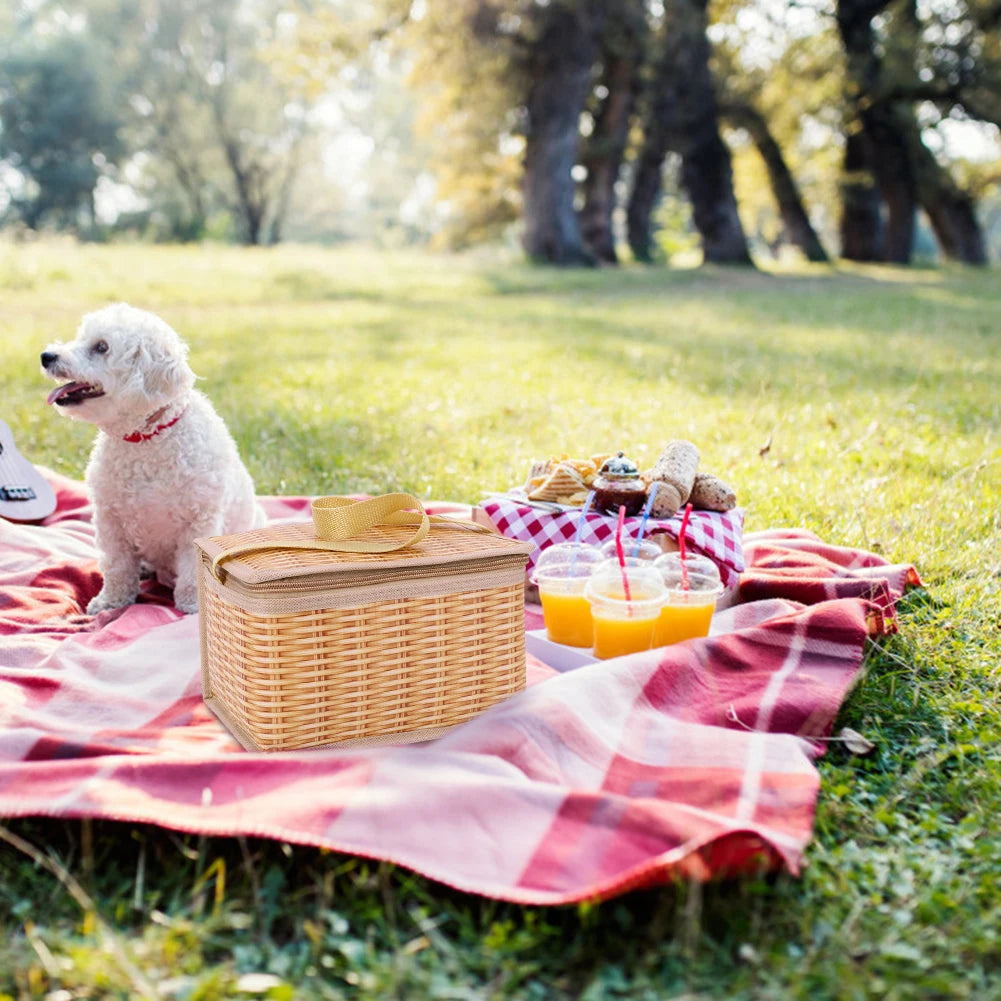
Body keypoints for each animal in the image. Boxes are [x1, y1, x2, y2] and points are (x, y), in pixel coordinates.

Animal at [41, 300, 264, 612]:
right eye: (80, 337)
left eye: (101, 347)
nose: (47, 356)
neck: (145, 440)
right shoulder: (111, 521)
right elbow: (117, 566)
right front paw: (111, 602)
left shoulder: (198, 520)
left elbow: (192, 572)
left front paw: (192, 605)